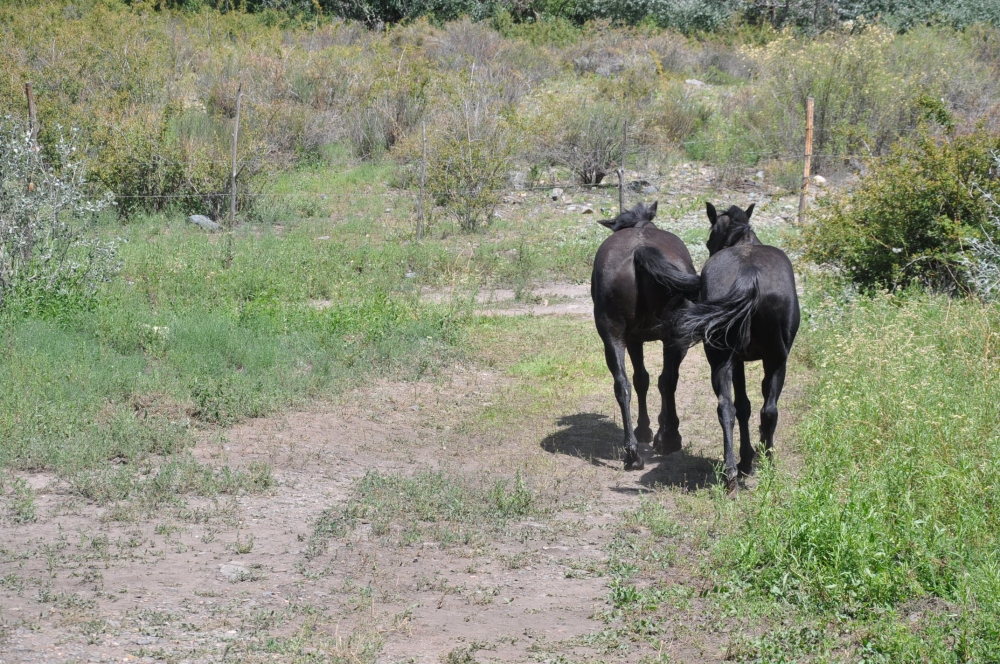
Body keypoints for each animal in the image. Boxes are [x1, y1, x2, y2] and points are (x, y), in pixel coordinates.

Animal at [588, 202, 700, 472]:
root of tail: (640, 251)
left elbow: (642, 379)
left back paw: (632, 452)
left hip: (613, 335)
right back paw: (668, 439)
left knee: (623, 385)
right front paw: (658, 430)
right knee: (667, 380)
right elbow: (657, 380)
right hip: (671, 338)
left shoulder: (633, 339)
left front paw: (647, 430)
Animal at [676, 202, 800, 492]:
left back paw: (734, 469)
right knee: (761, 409)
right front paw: (749, 458)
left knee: (732, 408)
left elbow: (743, 406)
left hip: (729, 359)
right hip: (772, 360)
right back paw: (756, 464)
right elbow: (746, 406)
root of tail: (748, 274)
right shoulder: (742, 361)